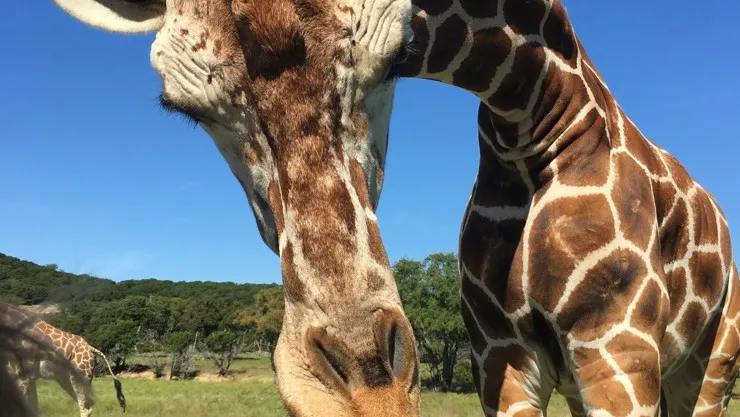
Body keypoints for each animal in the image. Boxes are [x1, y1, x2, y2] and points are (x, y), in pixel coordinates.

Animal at [43, 0, 736, 416]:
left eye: (396, 57)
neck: (534, 130)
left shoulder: (617, 347)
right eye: (183, 107)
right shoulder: (503, 358)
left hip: (709, 362)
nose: (364, 395)